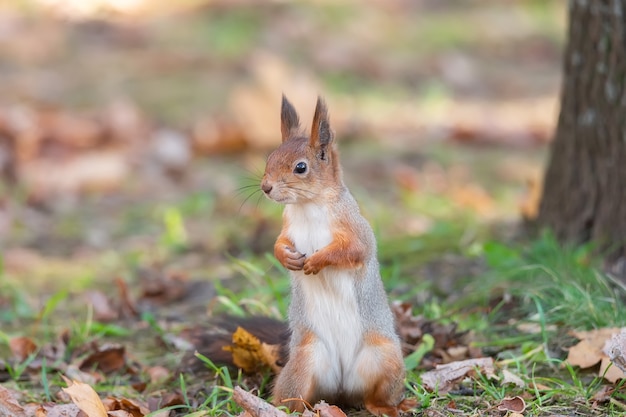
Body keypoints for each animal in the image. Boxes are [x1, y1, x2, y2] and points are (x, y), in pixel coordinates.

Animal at [258, 95, 414, 416]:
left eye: (301, 167)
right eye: (269, 158)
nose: (265, 187)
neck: (308, 206)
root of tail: (341, 390)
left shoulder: (355, 230)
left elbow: (351, 250)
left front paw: (317, 260)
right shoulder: (287, 228)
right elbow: (279, 244)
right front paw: (287, 259)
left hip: (385, 359)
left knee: (373, 396)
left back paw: (387, 407)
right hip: (304, 363)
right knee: (294, 399)